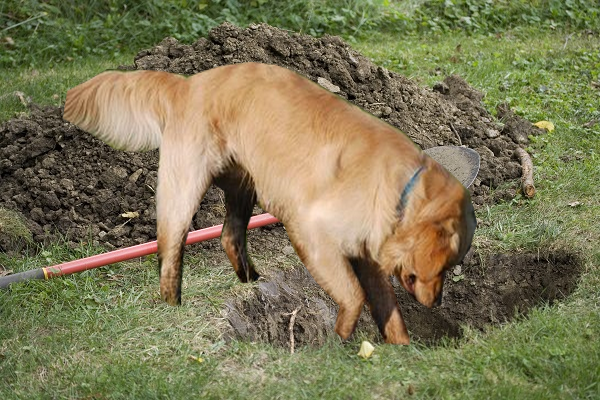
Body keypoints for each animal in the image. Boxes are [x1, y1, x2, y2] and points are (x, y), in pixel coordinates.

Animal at [63, 62, 476, 344]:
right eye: (444, 266)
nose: (439, 302)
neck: (401, 191)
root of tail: (188, 83)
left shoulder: (366, 256)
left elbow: (387, 309)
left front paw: (400, 348)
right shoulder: (311, 233)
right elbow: (354, 296)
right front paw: (341, 342)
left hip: (244, 185)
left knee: (229, 236)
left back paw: (252, 280)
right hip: (184, 188)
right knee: (169, 251)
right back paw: (173, 302)